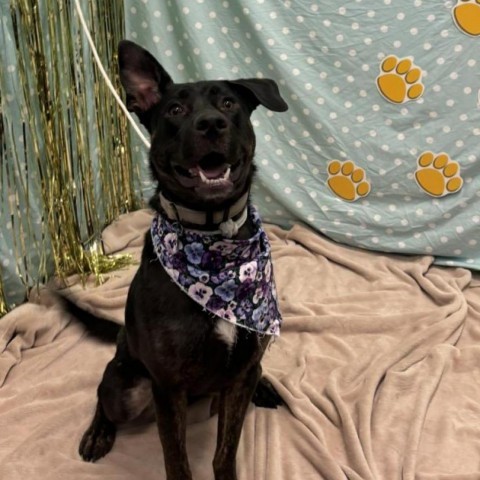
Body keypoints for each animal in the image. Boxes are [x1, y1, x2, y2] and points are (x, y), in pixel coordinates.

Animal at [78, 42, 288, 480]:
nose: (211, 124)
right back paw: (98, 433)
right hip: (127, 387)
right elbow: (177, 460)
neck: (213, 234)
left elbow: (224, 452)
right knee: (103, 397)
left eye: (229, 104)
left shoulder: (239, 375)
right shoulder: (167, 385)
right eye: (175, 110)